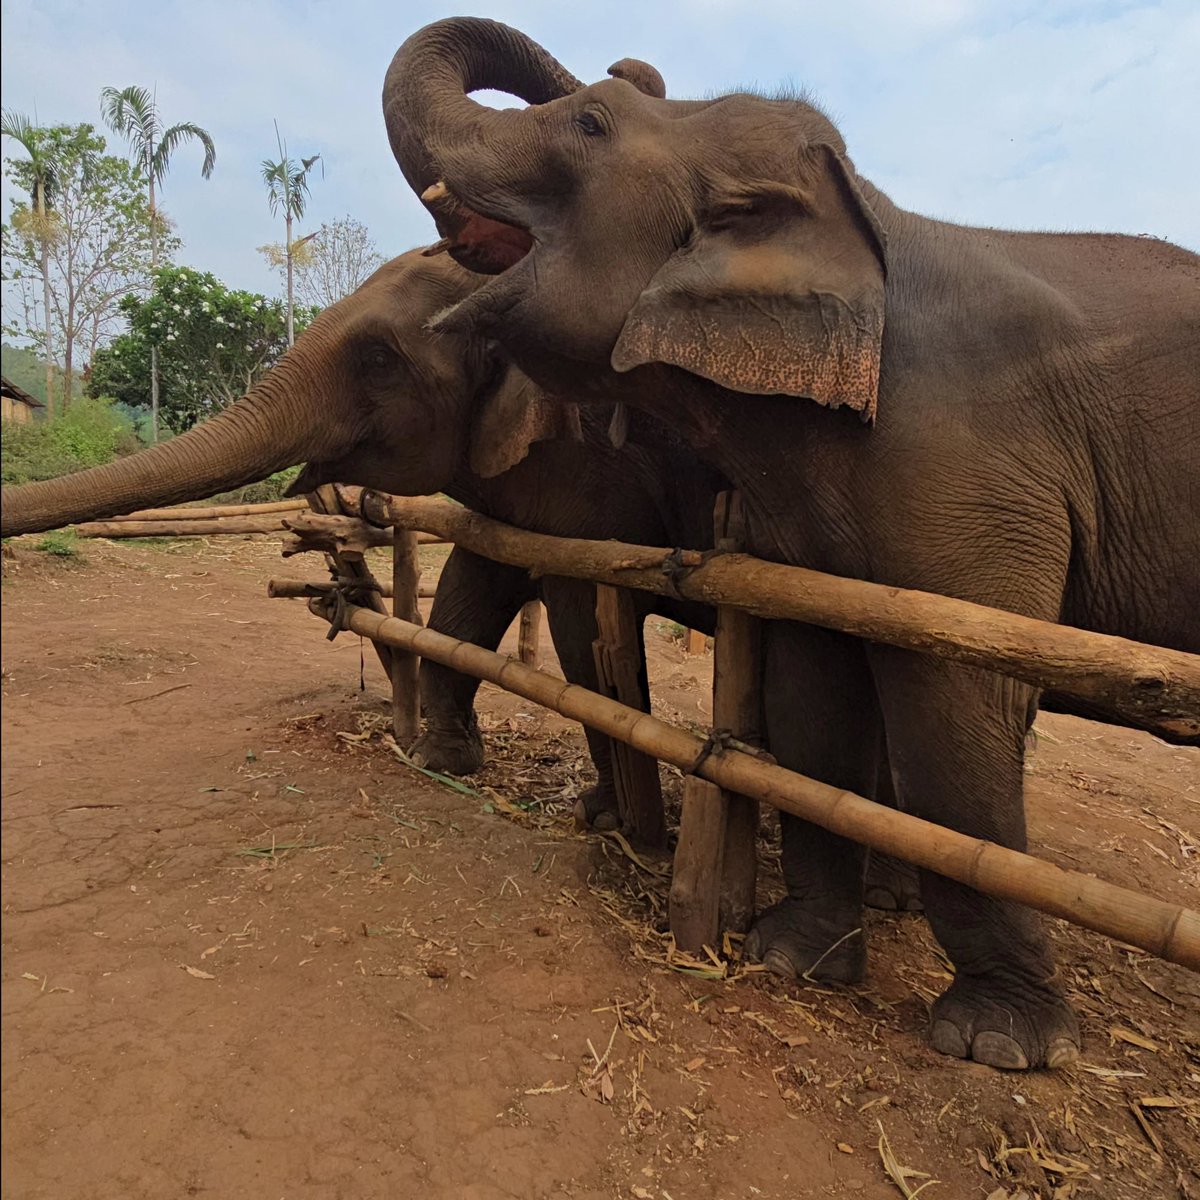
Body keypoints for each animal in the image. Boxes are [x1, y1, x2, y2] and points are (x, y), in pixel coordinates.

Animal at [380, 17, 1200, 1070]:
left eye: (592, 123)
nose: (631, 63)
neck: (866, 219)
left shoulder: (975, 463)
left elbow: (957, 706)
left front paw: (998, 1043)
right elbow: (814, 684)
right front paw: (790, 960)